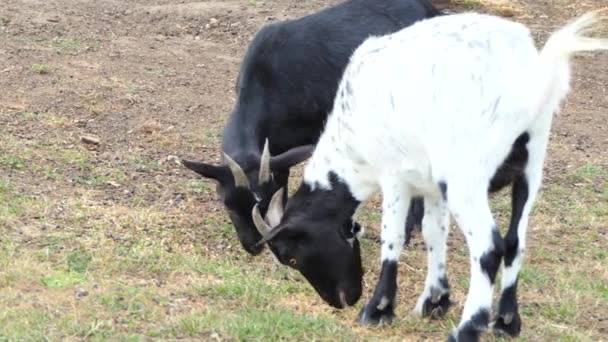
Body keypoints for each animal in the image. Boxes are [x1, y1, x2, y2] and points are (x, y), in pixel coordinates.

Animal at [251, 10, 608, 340]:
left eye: (291, 257)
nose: (342, 300)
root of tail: (528, 78)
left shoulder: (394, 174)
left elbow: (393, 236)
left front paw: (378, 309)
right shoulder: (431, 185)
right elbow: (433, 231)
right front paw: (434, 301)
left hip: (465, 177)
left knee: (489, 246)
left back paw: (468, 328)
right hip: (531, 165)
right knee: (515, 241)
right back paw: (506, 322)